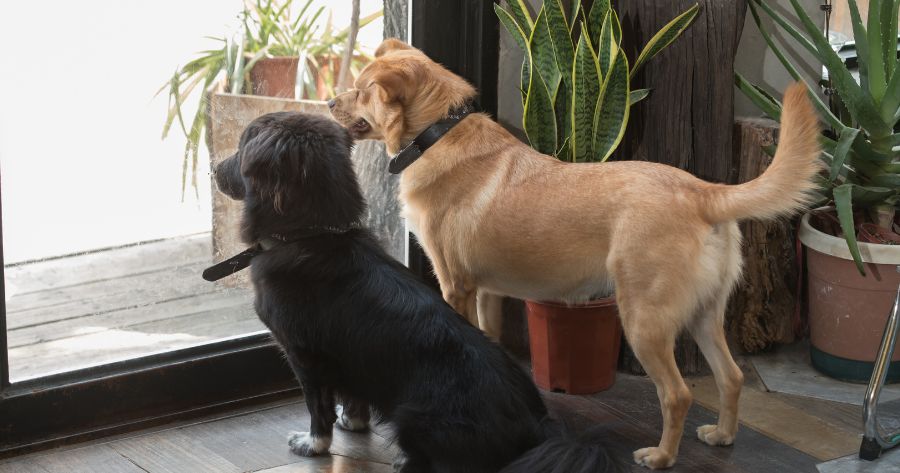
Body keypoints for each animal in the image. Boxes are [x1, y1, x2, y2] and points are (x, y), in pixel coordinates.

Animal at [212, 111, 616, 473]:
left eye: (242, 147)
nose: (212, 170)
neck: (311, 234)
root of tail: (537, 428)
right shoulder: (349, 354)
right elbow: (353, 397)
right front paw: (352, 422)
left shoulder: (305, 355)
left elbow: (318, 407)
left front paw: (313, 444)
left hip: (412, 414)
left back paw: (405, 460)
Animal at [329, 38, 822, 469]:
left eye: (361, 88)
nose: (331, 103)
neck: (437, 133)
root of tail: (704, 192)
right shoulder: (488, 292)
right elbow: (491, 338)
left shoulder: (456, 287)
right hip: (704, 313)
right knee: (731, 376)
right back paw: (723, 435)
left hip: (643, 320)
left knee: (677, 394)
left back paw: (662, 456)